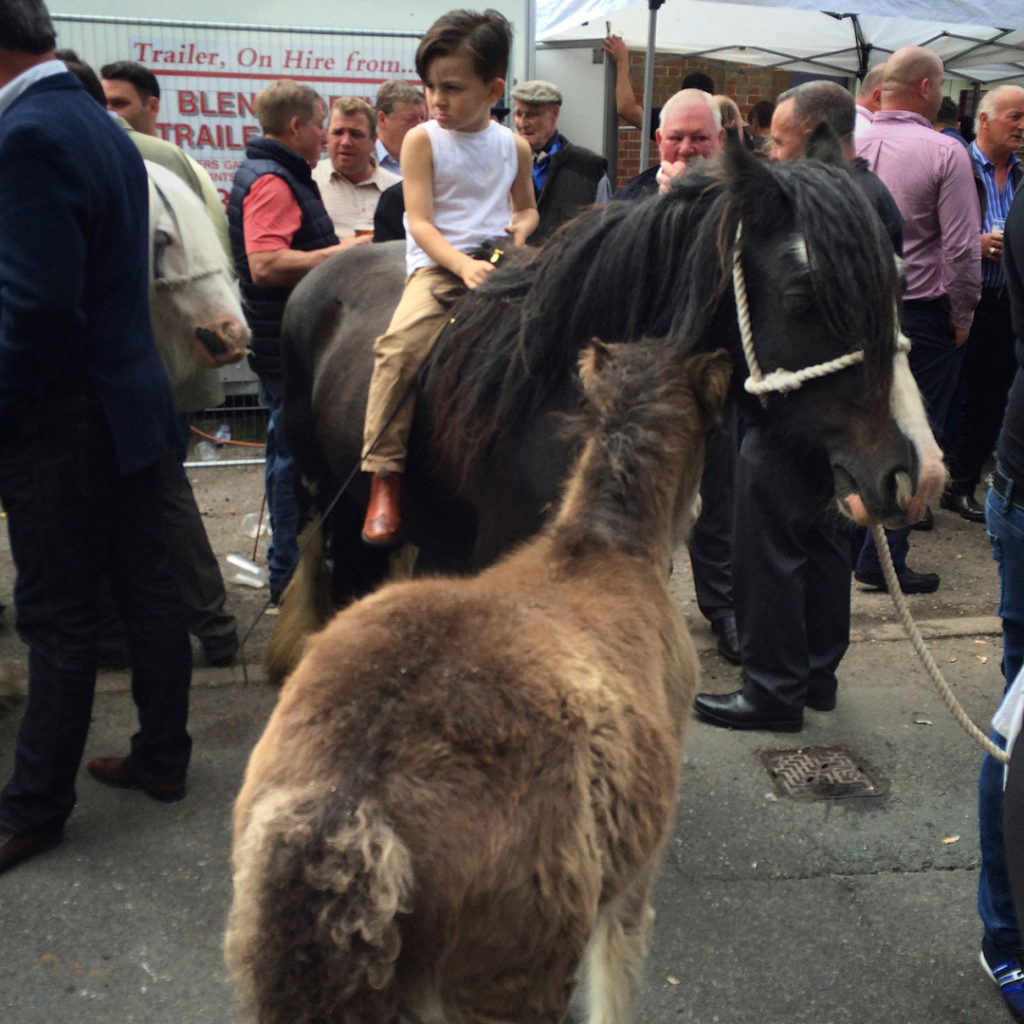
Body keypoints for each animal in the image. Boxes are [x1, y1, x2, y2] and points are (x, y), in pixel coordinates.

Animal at [228, 346, 733, 1024]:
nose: (705, 511)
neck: (604, 548)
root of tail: (349, 816)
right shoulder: (633, 877)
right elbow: (618, 979)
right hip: (514, 967)